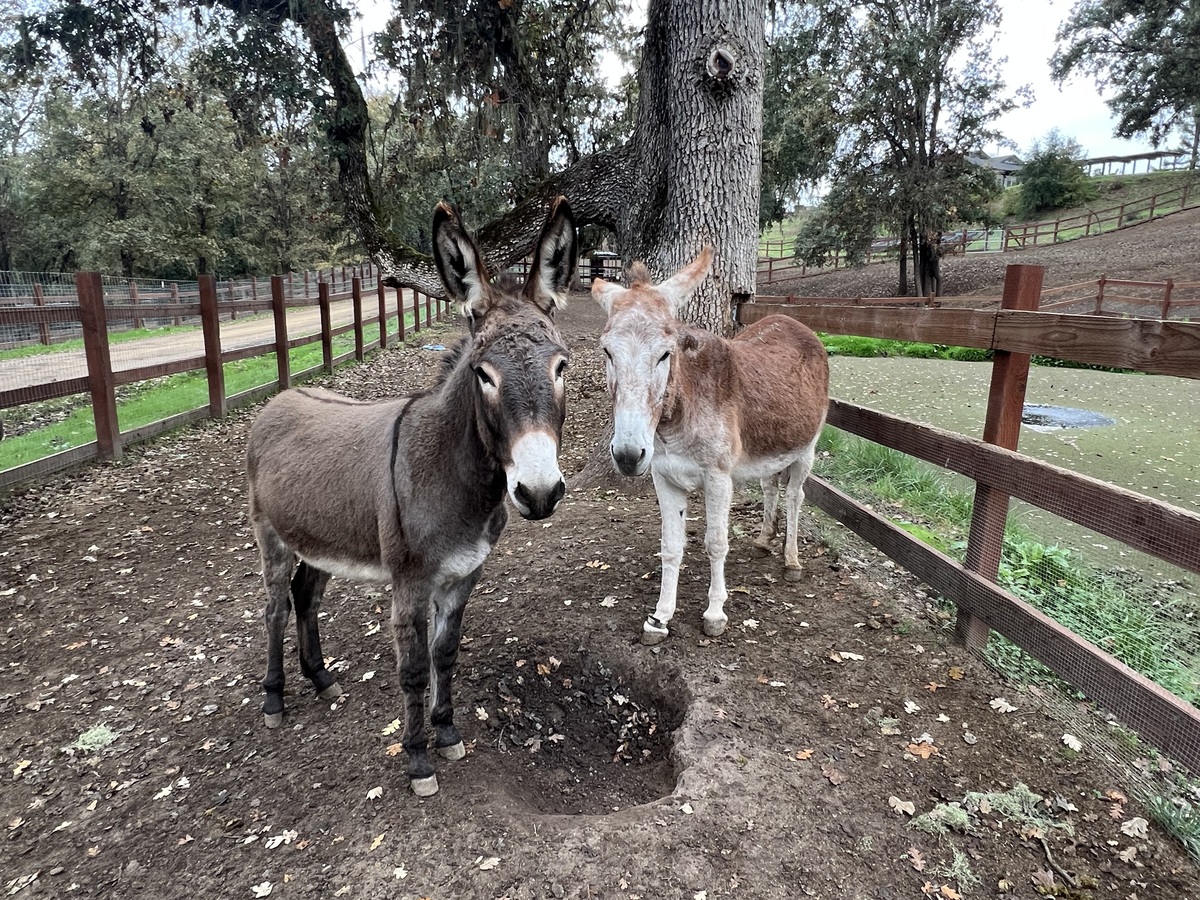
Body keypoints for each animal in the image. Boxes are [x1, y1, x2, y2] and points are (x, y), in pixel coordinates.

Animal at [245, 197, 577, 796]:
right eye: (483, 375)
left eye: (561, 366)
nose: (539, 492)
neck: (454, 478)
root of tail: (279, 399)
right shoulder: (410, 583)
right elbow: (414, 668)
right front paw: (418, 759)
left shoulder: (464, 574)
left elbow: (445, 655)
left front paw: (446, 734)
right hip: (272, 537)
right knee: (276, 608)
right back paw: (275, 698)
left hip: (321, 539)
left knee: (306, 596)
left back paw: (321, 679)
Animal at [592, 247, 829, 645]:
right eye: (607, 352)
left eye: (665, 353)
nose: (627, 455)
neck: (677, 423)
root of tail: (795, 323)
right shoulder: (664, 477)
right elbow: (671, 547)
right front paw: (660, 617)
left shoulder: (719, 478)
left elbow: (716, 542)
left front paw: (715, 613)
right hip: (768, 446)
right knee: (770, 486)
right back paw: (764, 540)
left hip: (806, 449)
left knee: (796, 496)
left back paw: (791, 560)